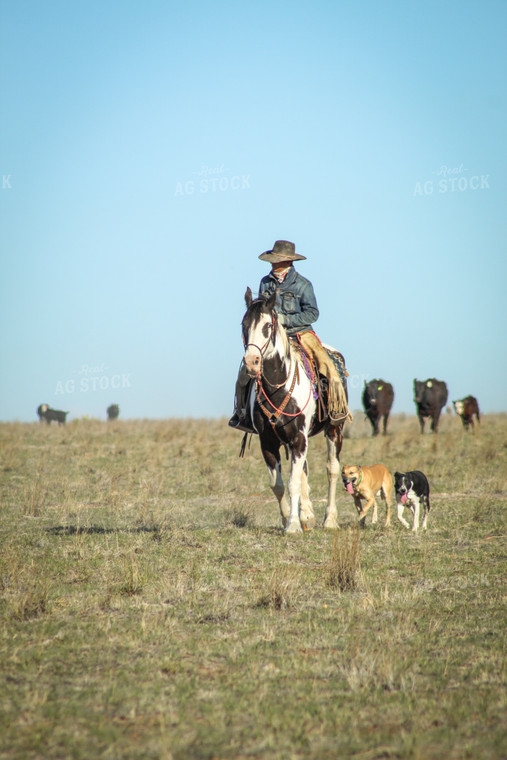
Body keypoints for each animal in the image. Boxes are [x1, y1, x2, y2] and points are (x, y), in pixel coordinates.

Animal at [242, 286, 350, 536]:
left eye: (267, 325)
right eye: (244, 324)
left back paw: (329, 519)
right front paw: (288, 519)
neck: (277, 388)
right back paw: (307, 516)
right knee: (304, 472)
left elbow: (293, 483)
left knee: (332, 469)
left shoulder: (299, 438)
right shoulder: (268, 442)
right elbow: (279, 484)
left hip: (334, 430)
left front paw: (292, 525)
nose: (251, 362)